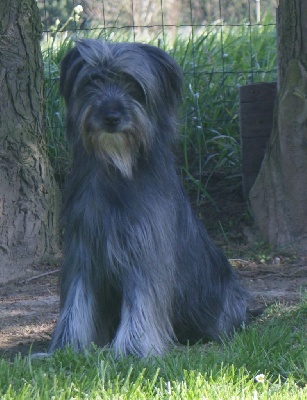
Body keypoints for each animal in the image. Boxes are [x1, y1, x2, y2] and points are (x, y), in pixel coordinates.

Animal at [48, 39, 250, 358]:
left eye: (132, 84)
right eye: (94, 81)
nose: (111, 118)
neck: (118, 169)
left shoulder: (145, 252)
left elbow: (141, 303)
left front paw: (132, 350)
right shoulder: (83, 251)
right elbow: (76, 304)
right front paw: (67, 347)